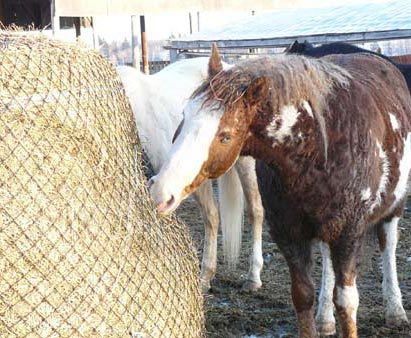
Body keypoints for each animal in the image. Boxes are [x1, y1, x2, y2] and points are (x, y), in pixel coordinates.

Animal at [150, 45, 411, 338]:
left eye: (225, 136)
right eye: (184, 117)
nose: (161, 192)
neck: (319, 149)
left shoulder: (348, 233)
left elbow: (346, 302)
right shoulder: (289, 233)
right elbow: (303, 295)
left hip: (392, 208)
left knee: (388, 245)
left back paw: (395, 310)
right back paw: (325, 318)